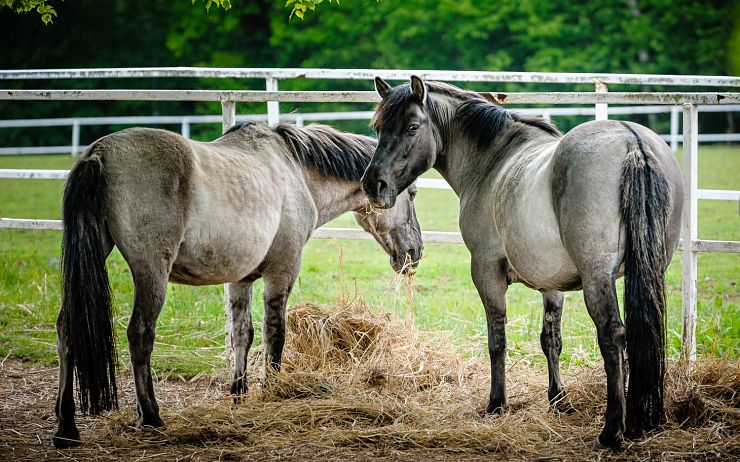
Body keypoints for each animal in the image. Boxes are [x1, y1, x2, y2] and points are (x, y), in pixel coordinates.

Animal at [53, 122, 422, 448]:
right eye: (414, 193)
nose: (415, 253)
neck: (295, 172)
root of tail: (99, 155)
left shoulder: (240, 279)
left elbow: (243, 334)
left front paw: (239, 394)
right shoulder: (282, 271)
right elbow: (275, 332)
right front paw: (271, 389)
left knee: (67, 329)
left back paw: (66, 427)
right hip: (151, 271)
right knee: (140, 334)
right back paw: (151, 416)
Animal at [362, 77, 684, 450]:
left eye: (412, 127)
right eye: (378, 127)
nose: (373, 185)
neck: (493, 161)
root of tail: (631, 140)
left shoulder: (486, 272)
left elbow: (497, 339)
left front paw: (496, 403)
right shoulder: (552, 283)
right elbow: (551, 340)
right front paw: (558, 400)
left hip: (597, 278)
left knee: (612, 335)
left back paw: (612, 429)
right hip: (650, 271)